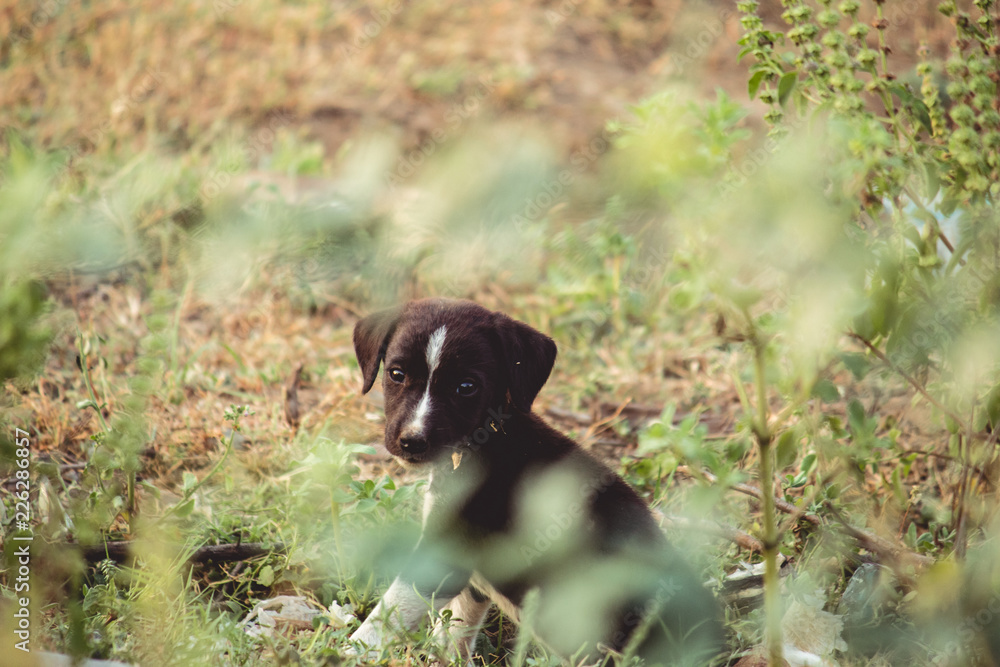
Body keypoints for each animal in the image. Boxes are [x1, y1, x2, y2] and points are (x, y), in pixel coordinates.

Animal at [348, 300, 724, 664]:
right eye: (396, 374)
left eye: (466, 387)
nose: (412, 441)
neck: (488, 437)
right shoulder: (470, 579)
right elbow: (454, 633)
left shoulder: (444, 556)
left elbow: (384, 619)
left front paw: (347, 652)